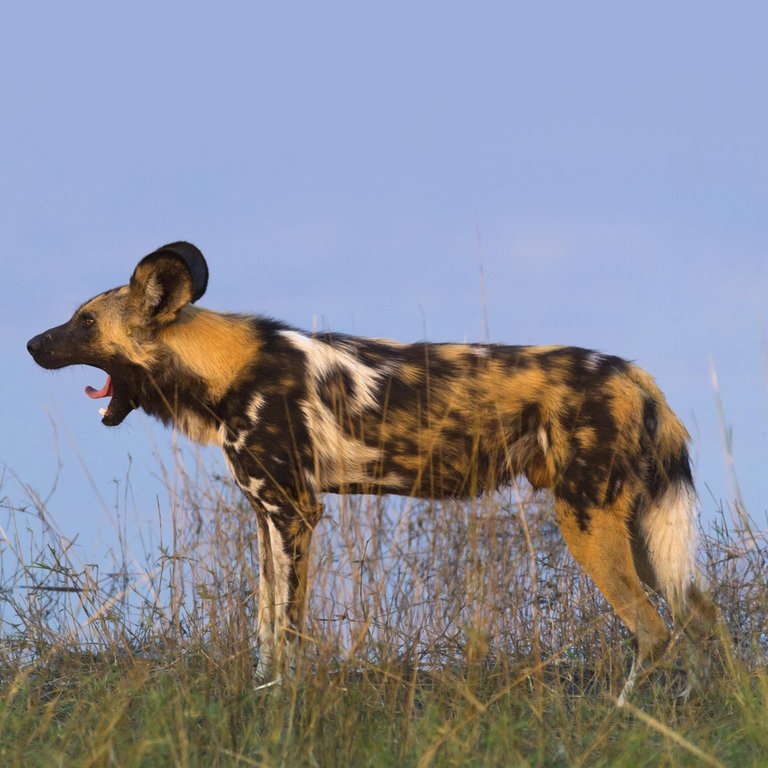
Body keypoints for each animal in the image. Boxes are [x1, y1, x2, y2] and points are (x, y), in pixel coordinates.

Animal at [28, 240, 712, 704]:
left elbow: (287, 627)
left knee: (653, 632)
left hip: (588, 522)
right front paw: (260, 693)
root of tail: (637, 376)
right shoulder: (266, 515)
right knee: (700, 617)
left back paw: (622, 713)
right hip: (640, 531)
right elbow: (264, 623)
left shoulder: (295, 514)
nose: (32, 344)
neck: (227, 369)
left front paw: (279, 702)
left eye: (85, 322)